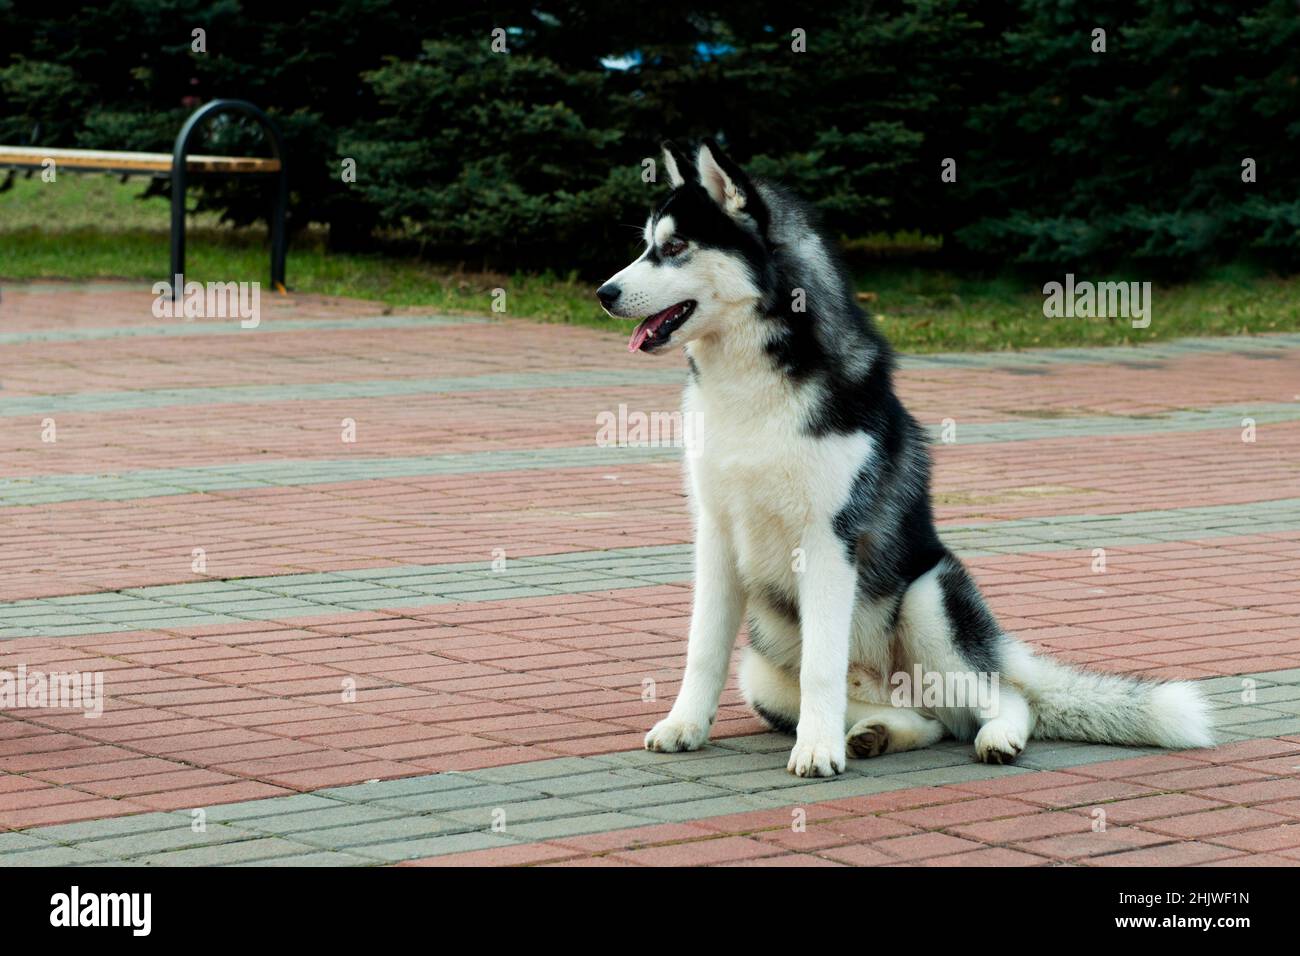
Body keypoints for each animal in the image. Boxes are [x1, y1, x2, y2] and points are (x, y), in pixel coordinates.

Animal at [595, 140, 1211, 780]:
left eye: (674, 248)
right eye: (648, 244)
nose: (603, 294)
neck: (751, 384)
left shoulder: (828, 539)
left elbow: (821, 666)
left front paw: (816, 751)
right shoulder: (716, 535)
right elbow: (703, 649)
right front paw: (685, 726)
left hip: (927, 600)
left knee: (1005, 698)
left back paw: (996, 736)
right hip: (762, 673)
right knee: (925, 717)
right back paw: (877, 733)